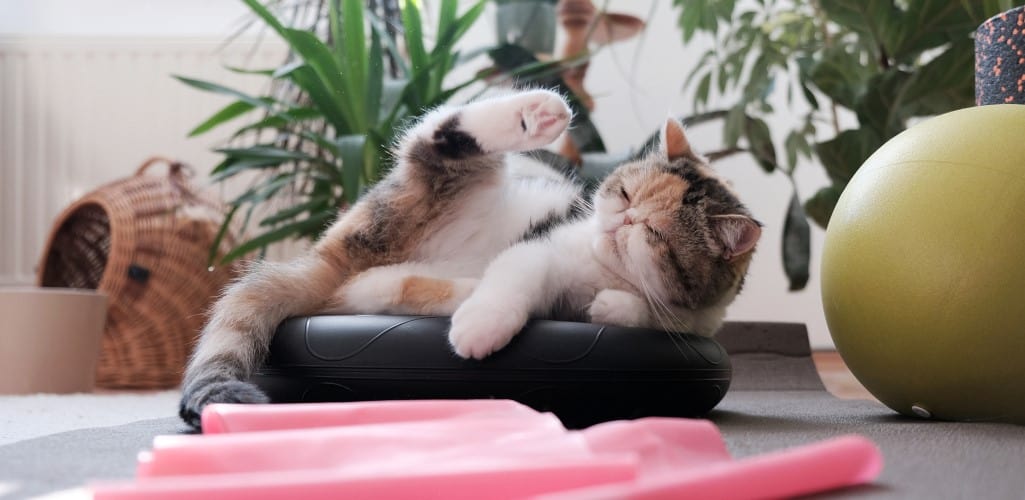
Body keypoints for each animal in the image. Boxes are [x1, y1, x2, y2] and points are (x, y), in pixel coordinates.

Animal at [180, 88, 762, 428]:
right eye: (622, 194)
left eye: (654, 231)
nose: (620, 220)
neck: (604, 269)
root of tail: (333, 255)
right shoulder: (543, 247)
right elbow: (515, 278)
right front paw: (483, 329)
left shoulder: (699, 320)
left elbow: (657, 317)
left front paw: (612, 307)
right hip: (427, 192)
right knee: (434, 139)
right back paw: (534, 114)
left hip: (382, 274)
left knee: (370, 288)